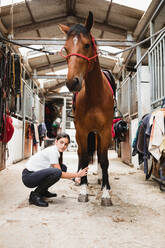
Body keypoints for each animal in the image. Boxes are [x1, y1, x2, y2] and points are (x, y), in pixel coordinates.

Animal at [59, 11, 114, 205]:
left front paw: (106, 193)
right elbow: (83, 157)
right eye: (66, 49)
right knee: (81, 154)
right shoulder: (82, 130)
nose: (72, 82)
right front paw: (83, 190)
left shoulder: (105, 130)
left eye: (87, 44)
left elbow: (104, 160)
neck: (94, 95)